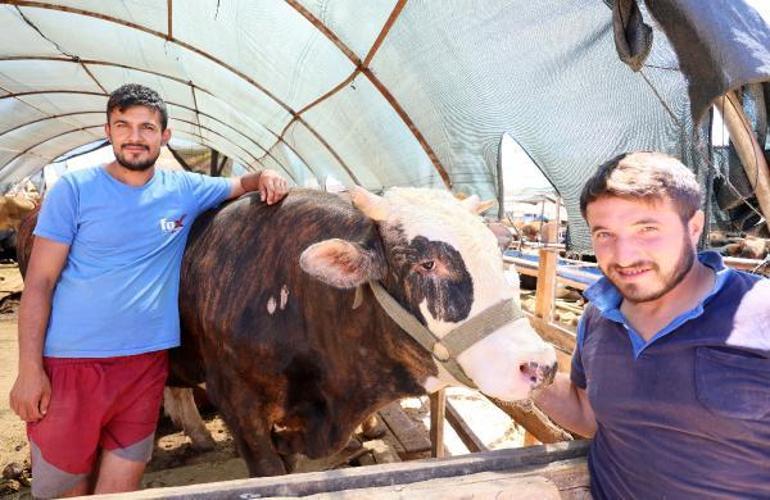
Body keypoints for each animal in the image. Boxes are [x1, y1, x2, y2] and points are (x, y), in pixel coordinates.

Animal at [18, 187, 556, 476]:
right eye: (427, 262)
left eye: (498, 253)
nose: (542, 364)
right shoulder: (238, 402)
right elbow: (269, 468)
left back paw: (198, 436)